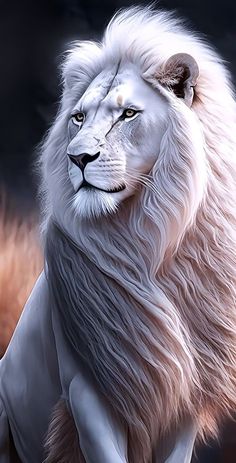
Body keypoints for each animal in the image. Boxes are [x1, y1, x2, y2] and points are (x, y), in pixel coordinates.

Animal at [0, 6, 236, 463]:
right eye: (79, 117)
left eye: (128, 114)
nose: (78, 158)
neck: (146, 242)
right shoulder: (88, 390)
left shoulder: (183, 392)